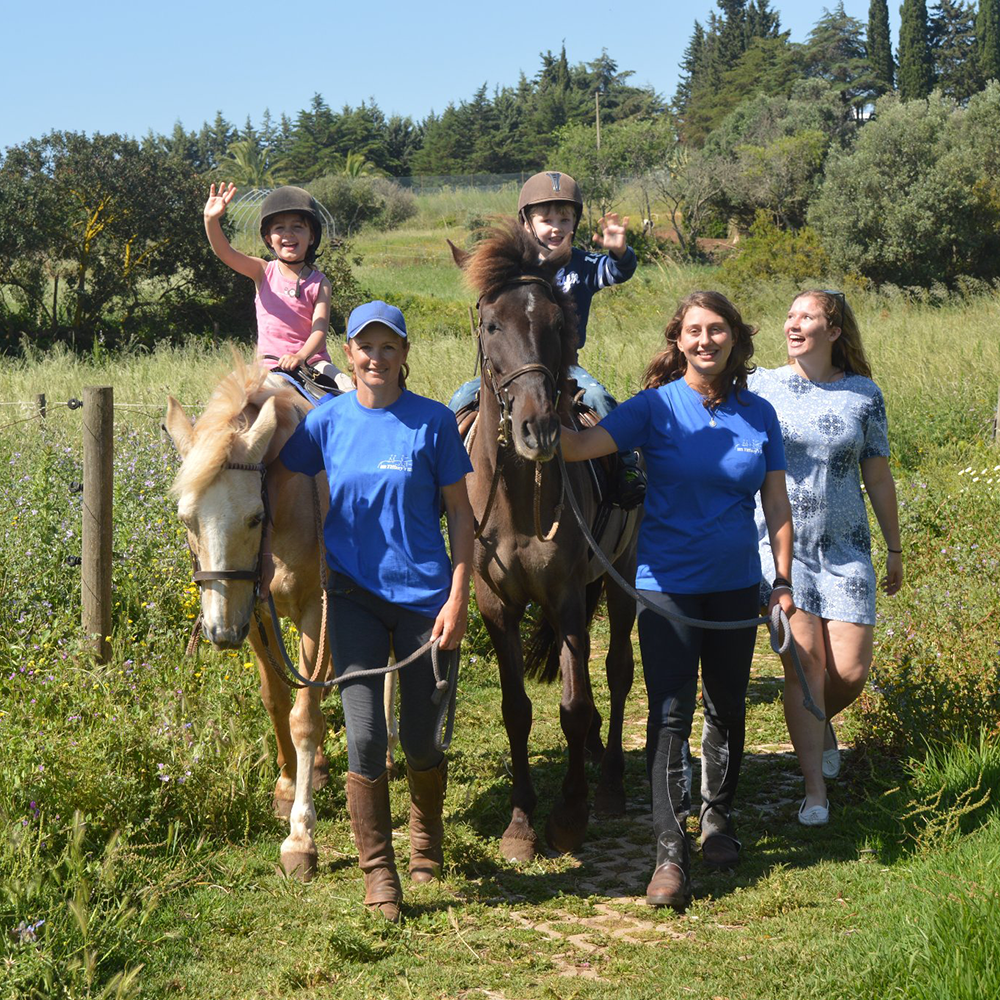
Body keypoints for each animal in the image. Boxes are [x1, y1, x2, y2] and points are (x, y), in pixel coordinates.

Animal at [451, 221, 640, 861]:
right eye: (490, 324)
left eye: (558, 323)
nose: (536, 428)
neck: (518, 500)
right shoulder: (495, 605)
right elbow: (517, 709)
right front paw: (520, 823)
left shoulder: (564, 595)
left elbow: (574, 704)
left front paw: (571, 814)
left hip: (623, 577)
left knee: (618, 671)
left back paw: (609, 783)